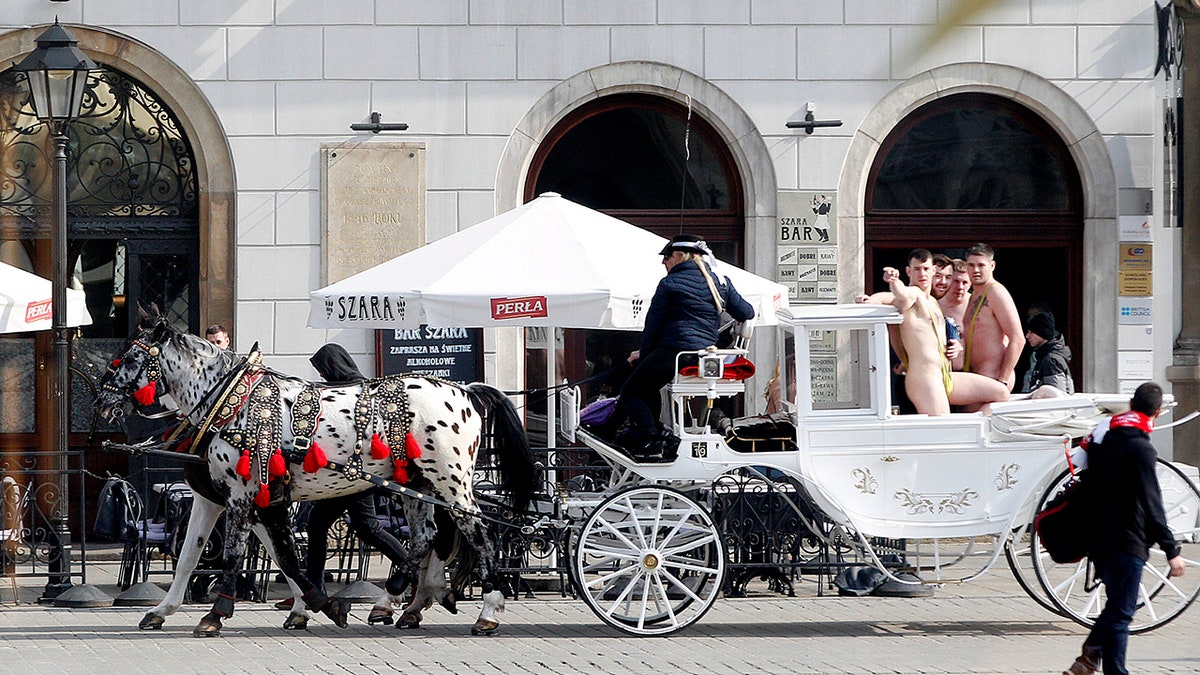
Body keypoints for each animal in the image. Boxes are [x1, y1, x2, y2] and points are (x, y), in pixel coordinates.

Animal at [96, 312, 537, 634]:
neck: (231, 402)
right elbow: (202, 555)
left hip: (451, 480)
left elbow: (236, 555)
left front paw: (216, 615)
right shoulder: (224, 499)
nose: (101, 398)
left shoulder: (242, 495)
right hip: (417, 484)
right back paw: (401, 604)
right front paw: (162, 610)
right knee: (426, 538)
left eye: (131, 357)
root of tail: (465, 390)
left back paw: (487, 611)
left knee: (478, 533)